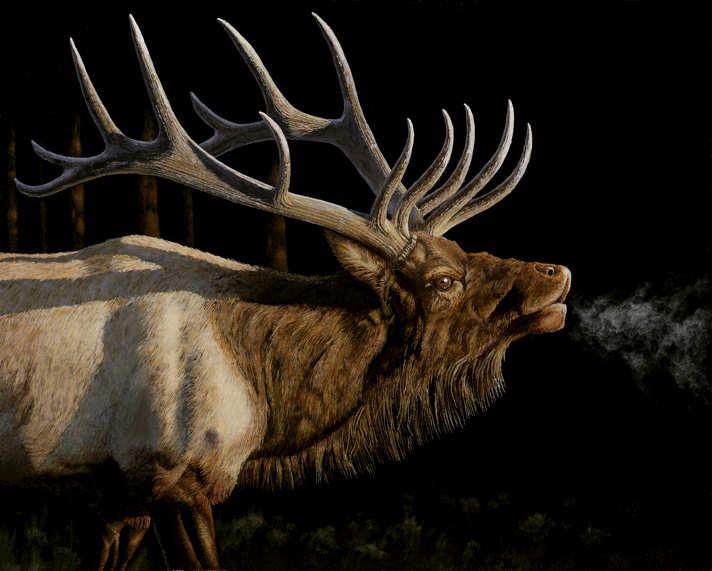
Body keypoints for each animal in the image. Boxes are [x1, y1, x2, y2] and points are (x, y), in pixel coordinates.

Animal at [0, 13, 571, 570]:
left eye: (460, 249)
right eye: (443, 280)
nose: (556, 272)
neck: (265, 396)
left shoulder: (120, 499)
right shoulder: (172, 476)